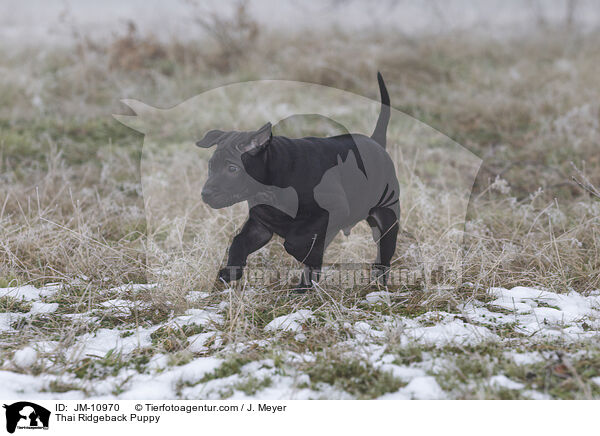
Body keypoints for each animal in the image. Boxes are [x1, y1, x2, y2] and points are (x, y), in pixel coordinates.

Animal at [197, 71, 400, 290]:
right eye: (211, 166)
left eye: (232, 169)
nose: (205, 194)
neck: (270, 188)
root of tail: (376, 142)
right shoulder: (260, 227)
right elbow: (239, 242)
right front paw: (231, 271)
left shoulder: (332, 211)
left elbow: (296, 242)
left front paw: (308, 257)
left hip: (387, 219)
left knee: (383, 258)